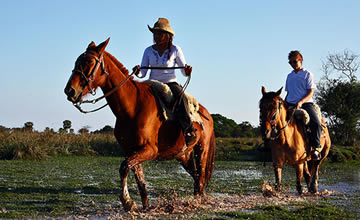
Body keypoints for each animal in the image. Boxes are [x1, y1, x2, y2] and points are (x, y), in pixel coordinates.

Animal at [64, 38, 215, 212]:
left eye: (89, 61)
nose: (70, 91)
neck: (132, 106)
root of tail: (207, 114)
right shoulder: (132, 151)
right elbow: (140, 181)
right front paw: (144, 206)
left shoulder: (149, 150)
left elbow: (124, 167)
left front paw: (127, 201)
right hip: (183, 155)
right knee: (196, 177)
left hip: (201, 150)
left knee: (201, 177)